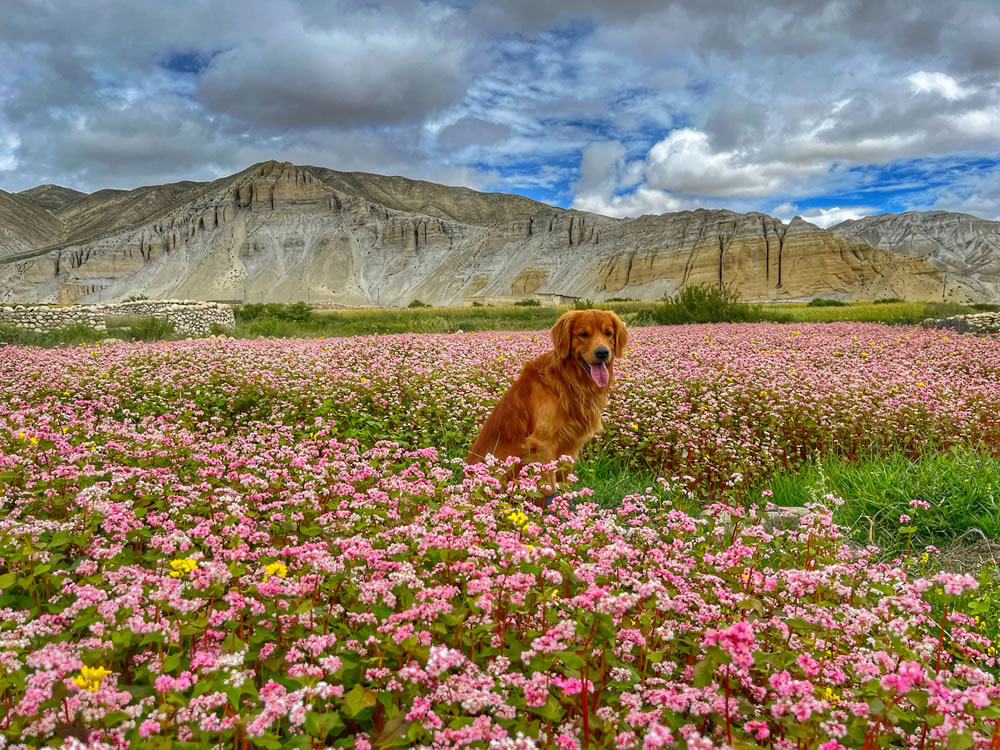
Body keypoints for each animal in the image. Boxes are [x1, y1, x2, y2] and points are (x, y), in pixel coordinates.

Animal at [466, 308, 624, 496]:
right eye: (583, 334)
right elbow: (549, 486)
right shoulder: (543, 444)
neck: (569, 381)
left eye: (609, 333)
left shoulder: (570, 445)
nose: (602, 352)